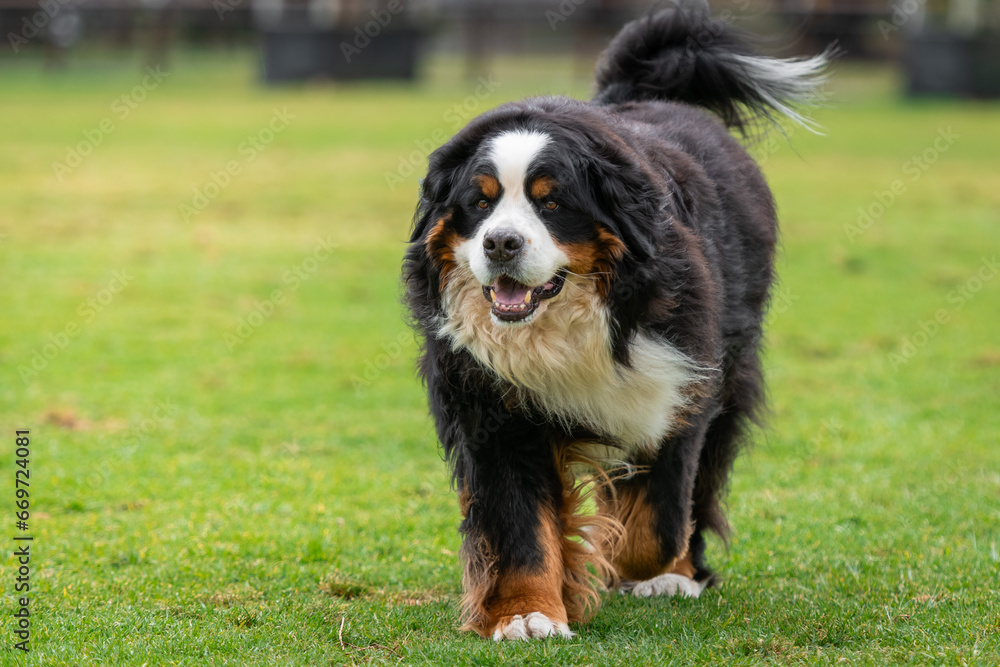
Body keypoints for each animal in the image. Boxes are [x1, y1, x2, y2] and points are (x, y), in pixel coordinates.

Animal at [400, 6, 828, 640]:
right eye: (479, 203)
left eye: (552, 203)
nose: (500, 243)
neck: (568, 321)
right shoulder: (491, 405)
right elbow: (518, 523)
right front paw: (528, 612)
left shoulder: (678, 379)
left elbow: (655, 522)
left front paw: (643, 568)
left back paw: (677, 575)